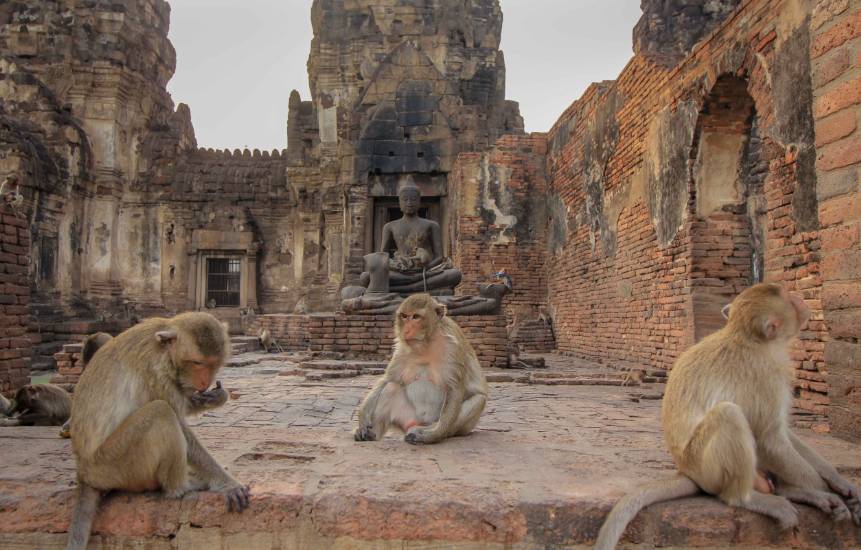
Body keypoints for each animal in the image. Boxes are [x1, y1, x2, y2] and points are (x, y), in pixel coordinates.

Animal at [66, 312, 250, 550]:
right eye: (197, 362)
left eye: (212, 364)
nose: (203, 382)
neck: (165, 350)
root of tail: (84, 472)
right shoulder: (155, 371)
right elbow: (179, 423)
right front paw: (228, 484)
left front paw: (217, 397)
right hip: (112, 465)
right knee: (160, 411)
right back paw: (182, 486)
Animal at [353, 293, 488, 445]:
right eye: (404, 316)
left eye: (416, 317)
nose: (406, 330)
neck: (426, 344)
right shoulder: (401, 350)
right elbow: (388, 379)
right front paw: (362, 418)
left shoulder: (453, 348)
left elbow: (454, 389)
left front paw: (434, 435)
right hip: (407, 418)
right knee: (391, 387)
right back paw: (373, 433)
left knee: (478, 399)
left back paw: (428, 433)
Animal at [595, 284, 861, 550]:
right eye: (789, 300)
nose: (801, 301)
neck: (748, 337)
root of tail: (687, 471)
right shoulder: (767, 374)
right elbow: (770, 439)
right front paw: (828, 495)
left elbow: (782, 434)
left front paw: (840, 483)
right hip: (704, 465)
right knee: (730, 414)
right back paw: (748, 498)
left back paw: (790, 491)